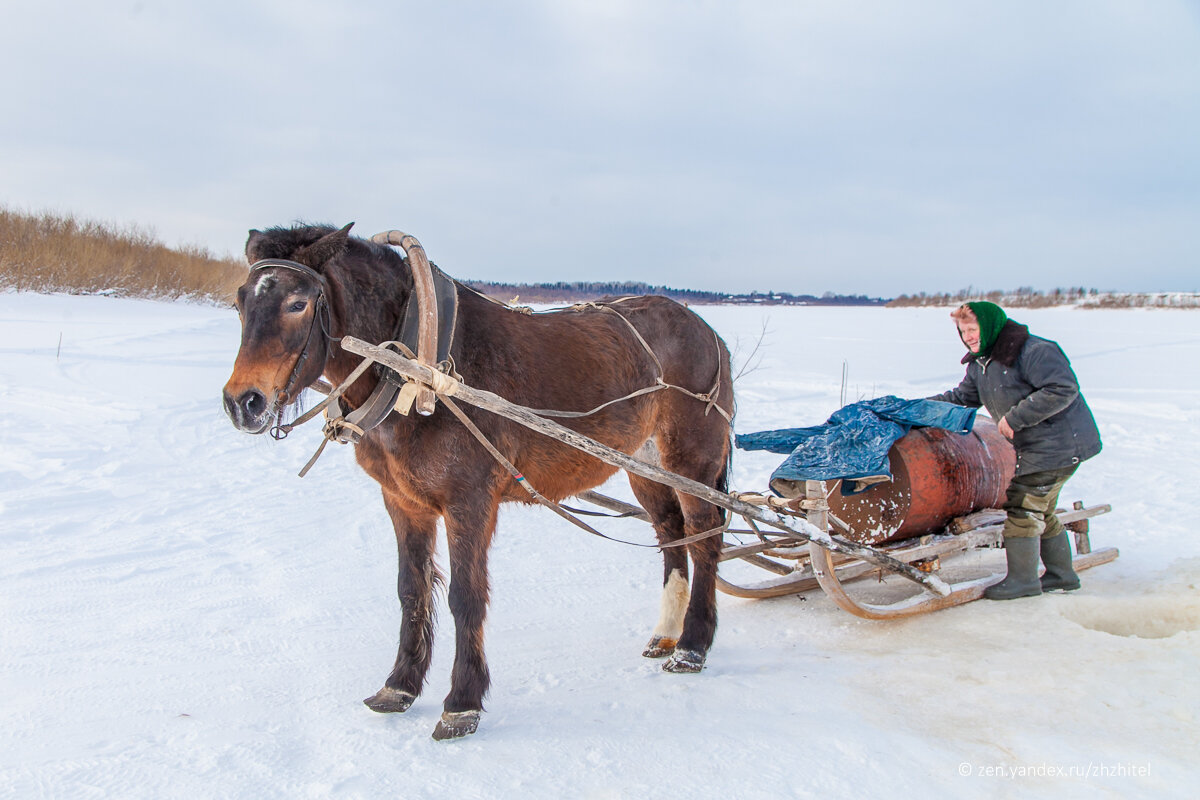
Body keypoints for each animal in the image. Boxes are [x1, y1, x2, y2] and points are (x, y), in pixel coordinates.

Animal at [220, 221, 734, 743]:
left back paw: (692, 646)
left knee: (704, 538)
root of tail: (706, 329)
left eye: (298, 303)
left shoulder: (469, 502)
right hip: (643, 465)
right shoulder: (403, 501)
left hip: (691, 459)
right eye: (240, 302)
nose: (243, 402)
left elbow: (465, 596)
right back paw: (666, 633)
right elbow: (411, 590)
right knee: (670, 532)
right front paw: (399, 686)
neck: (418, 368)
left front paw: (462, 703)